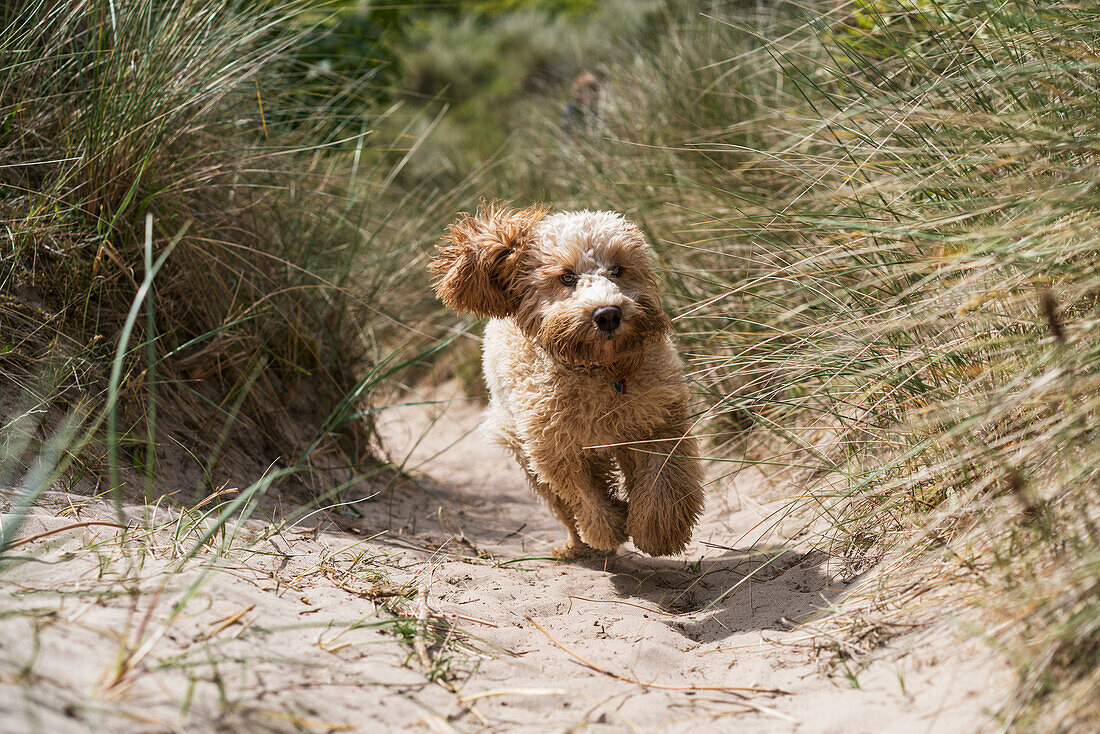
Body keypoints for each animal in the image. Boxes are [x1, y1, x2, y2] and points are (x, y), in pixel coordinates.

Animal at [429, 203, 704, 559]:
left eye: (617, 270)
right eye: (567, 277)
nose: (608, 314)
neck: (597, 370)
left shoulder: (658, 419)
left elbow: (663, 478)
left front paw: (657, 530)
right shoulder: (554, 447)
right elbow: (583, 494)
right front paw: (606, 528)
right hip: (518, 442)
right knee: (561, 505)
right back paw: (578, 546)